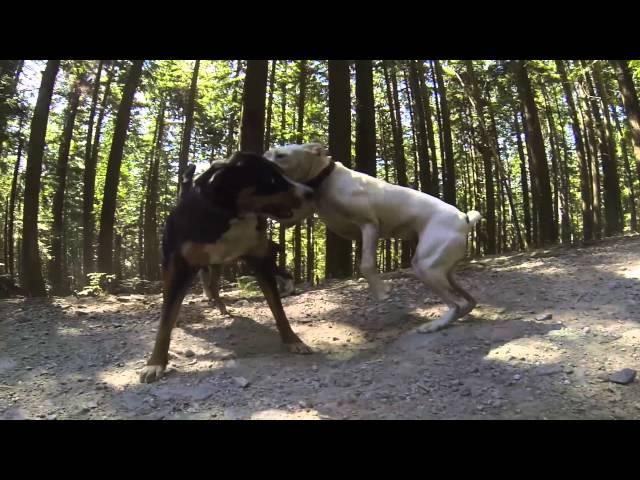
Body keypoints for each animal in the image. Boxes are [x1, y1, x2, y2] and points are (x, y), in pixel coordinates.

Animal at [264, 141, 480, 332]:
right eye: (267, 154)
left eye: (281, 156)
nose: (261, 163)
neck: (326, 179)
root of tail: (464, 219)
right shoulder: (294, 215)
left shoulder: (369, 226)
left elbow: (366, 265)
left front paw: (381, 291)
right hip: (444, 270)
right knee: (468, 301)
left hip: (425, 266)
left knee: (456, 304)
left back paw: (436, 325)